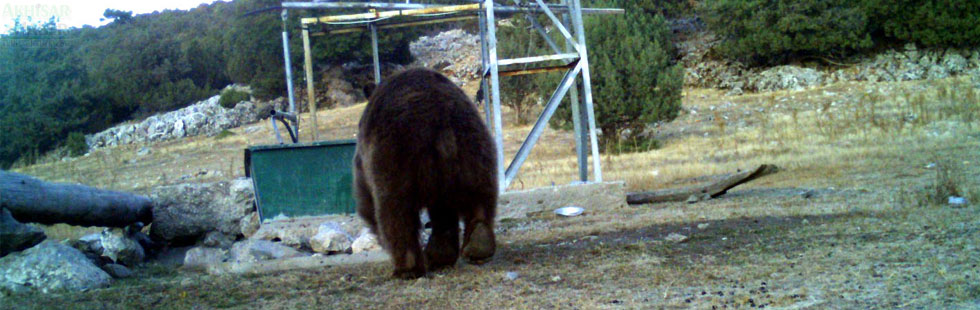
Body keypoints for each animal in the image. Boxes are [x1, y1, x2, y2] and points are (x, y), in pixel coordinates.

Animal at [352, 67, 498, 278]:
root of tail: (440, 120)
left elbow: (366, 200)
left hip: (395, 156)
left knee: (395, 211)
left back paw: (407, 267)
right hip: (473, 149)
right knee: (477, 197)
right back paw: (476, 245)